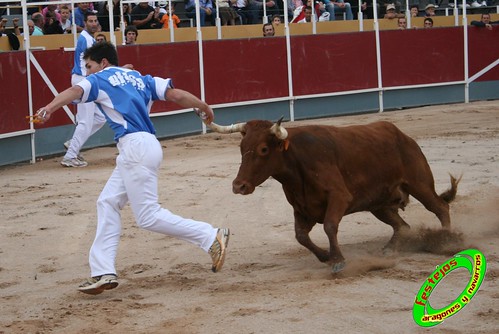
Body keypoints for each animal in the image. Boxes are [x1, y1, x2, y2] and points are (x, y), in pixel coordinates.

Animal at [205, 116, 458, 272]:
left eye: (264, 149)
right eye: (241, 148)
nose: (239, 186)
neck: (296, 160)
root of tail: (404, 136)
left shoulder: (339, 197)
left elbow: (329, 226)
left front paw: (337, 260)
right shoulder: (302, 207)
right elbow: (301, 236)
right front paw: (325, 256)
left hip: (420, 184)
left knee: (440, 207)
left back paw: (446, 240)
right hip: (379, 204)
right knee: (402, 225)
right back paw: (389, 250)